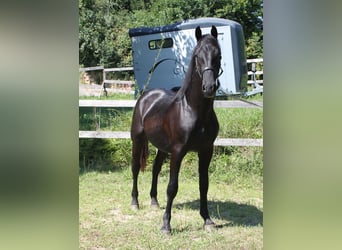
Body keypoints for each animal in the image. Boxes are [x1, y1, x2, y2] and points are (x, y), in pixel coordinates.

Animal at [130, 25, 222, 234]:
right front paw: (166, 225)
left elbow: (204, 184)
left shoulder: (206, 151)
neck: (193, 111)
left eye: (218, 55)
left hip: (163, 148)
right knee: (135, 168)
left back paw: (154, 201)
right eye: (197, 56)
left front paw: (207, 220)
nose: (209, 87)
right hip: (137, 141)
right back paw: (135, 202)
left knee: (155, 169)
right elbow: (172, 187)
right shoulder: (178, 151)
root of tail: (146, 96)